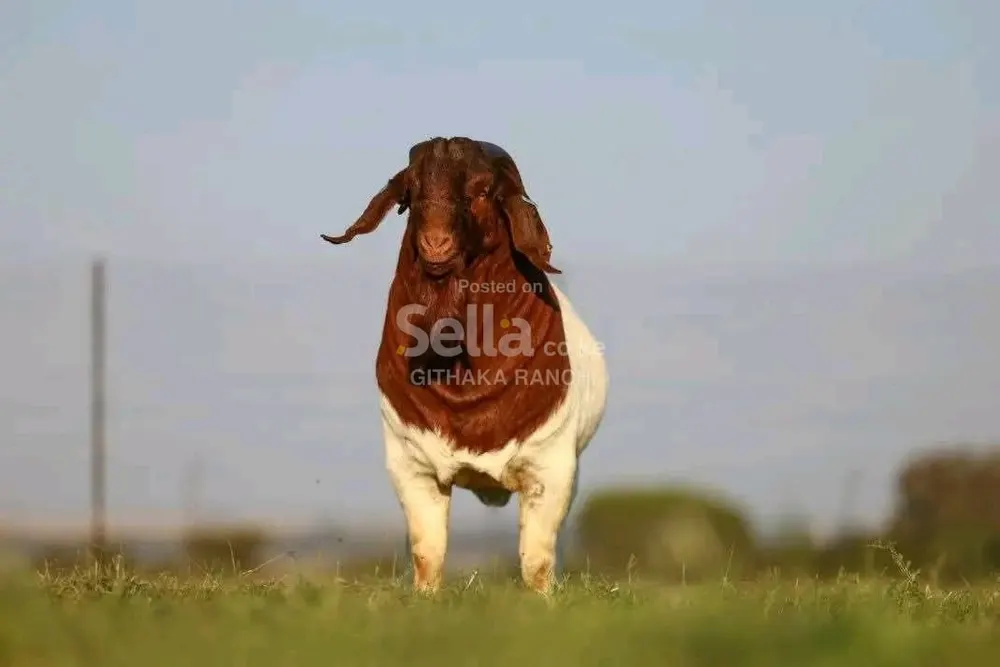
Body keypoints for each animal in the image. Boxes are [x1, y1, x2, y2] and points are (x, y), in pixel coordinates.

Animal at [321, 137, 608, 594]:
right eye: (411, 191)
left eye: (483, 191)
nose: (435, 244)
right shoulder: (411, 467)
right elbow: (427, 554)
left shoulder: (552, 469)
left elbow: (537, 561)